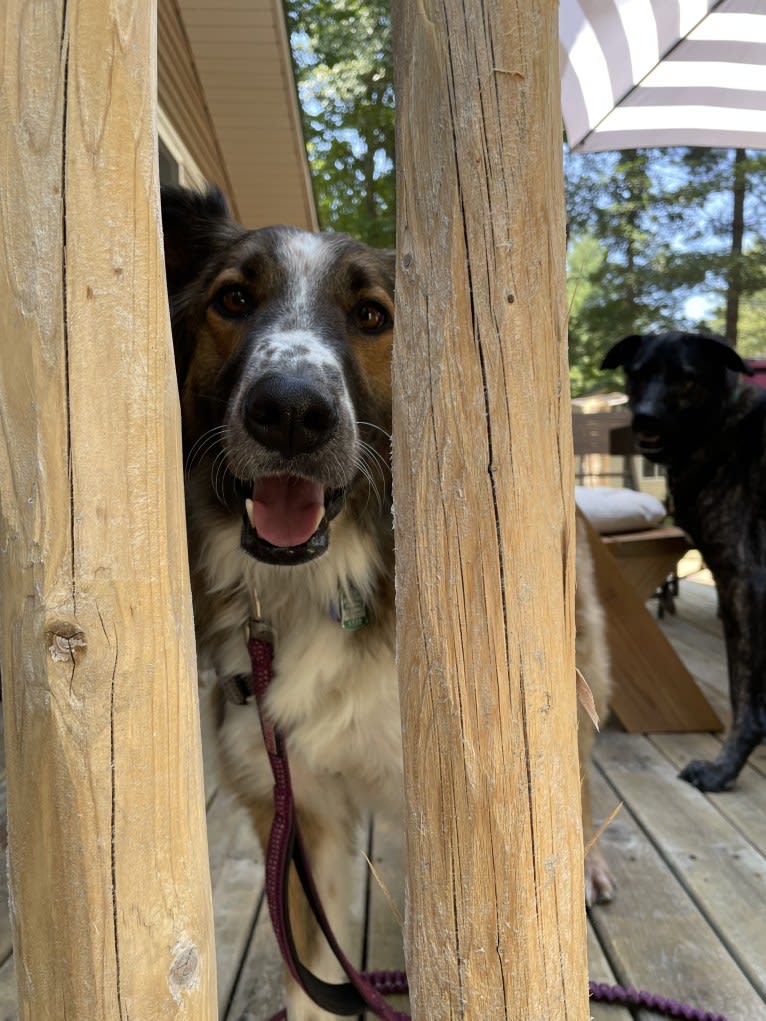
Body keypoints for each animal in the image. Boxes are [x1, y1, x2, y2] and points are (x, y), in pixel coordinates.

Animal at [162, 187, 616, 1016]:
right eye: (234, 299)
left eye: (372, 316)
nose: (290, 412)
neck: (321, 583)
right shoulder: (299, 816)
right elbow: (314, 982)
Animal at [604, 330, 766, 792]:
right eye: (637, 373)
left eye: (685, 379)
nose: (644, 419)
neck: (720, 428)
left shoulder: (743, 579)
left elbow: (744, 693)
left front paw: (723, 768)